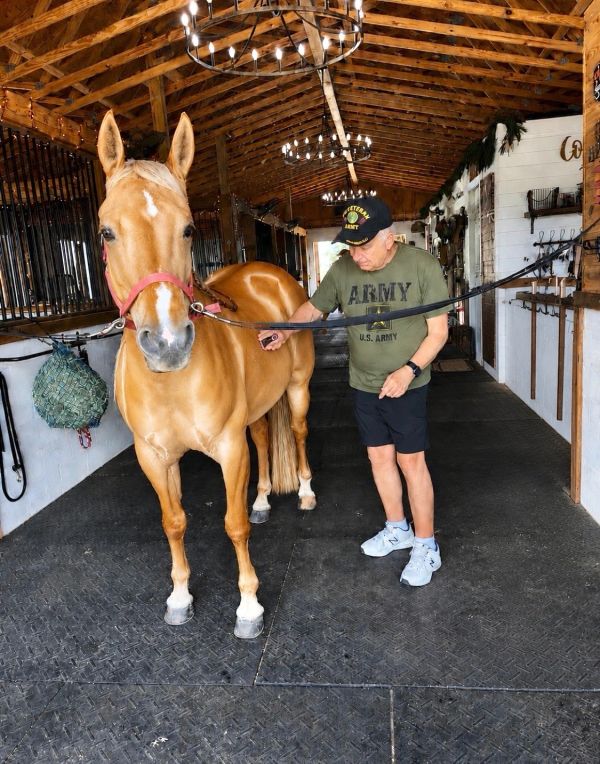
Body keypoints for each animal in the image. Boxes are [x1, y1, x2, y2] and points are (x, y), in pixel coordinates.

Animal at [97, 111, 316, 638]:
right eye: (107, 232)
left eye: (189, 229)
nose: (168, 341)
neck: (170, 384)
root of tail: (270, 273)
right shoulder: (154, 456)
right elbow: (174, 522)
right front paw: (179, 596)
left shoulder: (229, 449)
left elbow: (233, 525)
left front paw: (249, 607)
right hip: (256, 408)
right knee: (264, 437)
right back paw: (263, 499)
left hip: (297, 390)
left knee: (298, 434)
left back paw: (304, 491)